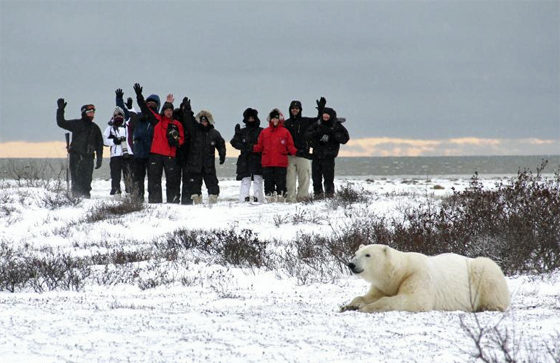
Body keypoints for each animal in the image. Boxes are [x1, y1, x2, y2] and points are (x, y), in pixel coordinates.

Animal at [342, 245, 512, 312]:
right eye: (356, 253)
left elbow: (413, 299)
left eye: (368, 255)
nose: (351, 264)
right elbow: (368, 296)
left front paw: (366, 308)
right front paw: (349, 305)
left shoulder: (417, 275)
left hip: (482, 272)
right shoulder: (383, 286)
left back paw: (488, 306)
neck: (400, 272)